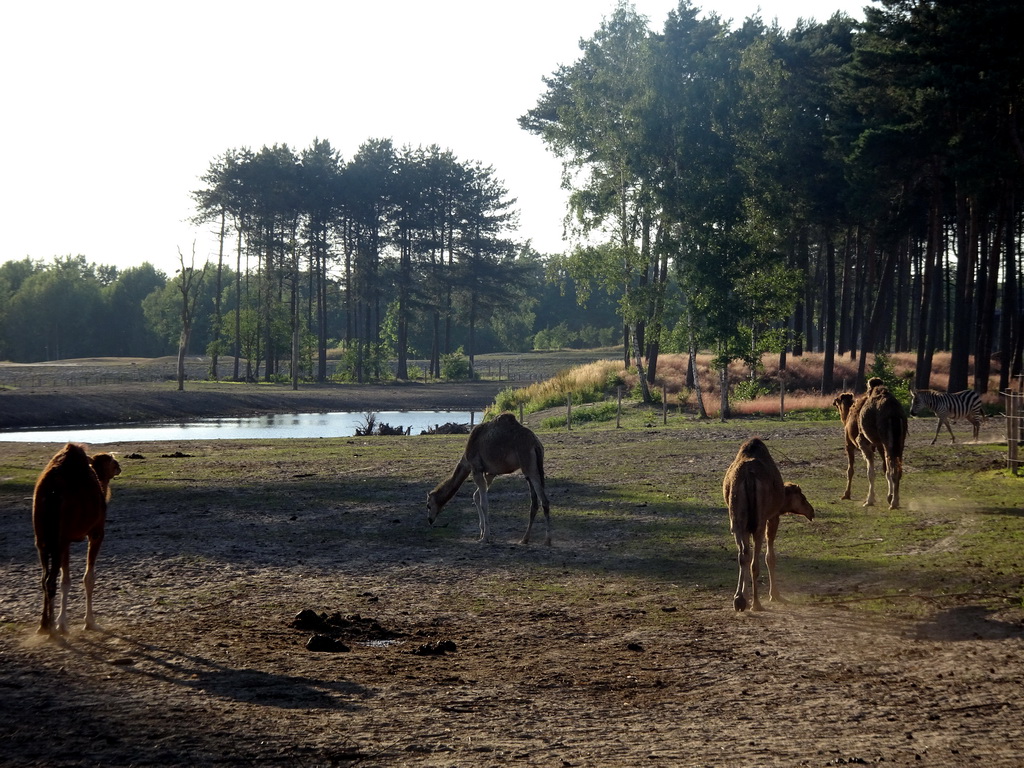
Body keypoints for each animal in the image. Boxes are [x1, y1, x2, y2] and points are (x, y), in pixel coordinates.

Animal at [32, 442, 121, 634]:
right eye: (110, 460)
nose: (119, 466)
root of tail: (51, 492)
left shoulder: (66, 541)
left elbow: (65, 580)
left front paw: (62, 623)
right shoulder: (96, 533)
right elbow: (89, 578)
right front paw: (89, 621)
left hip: (42, 540)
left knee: (44, 579)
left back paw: (43, 625)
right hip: (58, 539)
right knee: (49, 580)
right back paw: (50, 629)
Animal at [425, 415, 552, 548]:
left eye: (428, 505)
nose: (430, 520)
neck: (466, 460)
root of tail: (536, 444)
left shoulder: (476, 468)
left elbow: (483, 503)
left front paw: (485, 537)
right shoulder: (490, 473)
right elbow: (476, 496)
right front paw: (482, 532)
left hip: (529, 467)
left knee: (544, 500)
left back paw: (547, 540)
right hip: (529, 469)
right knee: (535, 503)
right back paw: (525, 539)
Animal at [720, 438, 815, 614]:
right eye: (803, 497)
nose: (812, 511)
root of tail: (748, 476)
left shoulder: (745, 525)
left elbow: (746, 554)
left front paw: (744, 596)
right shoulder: (773, 516)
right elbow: (770, 557)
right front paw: (775, 595)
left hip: (736, 521)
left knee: (743, 555)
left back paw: (739, 600)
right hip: (760, 522)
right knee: (754, 562)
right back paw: (756, 604)